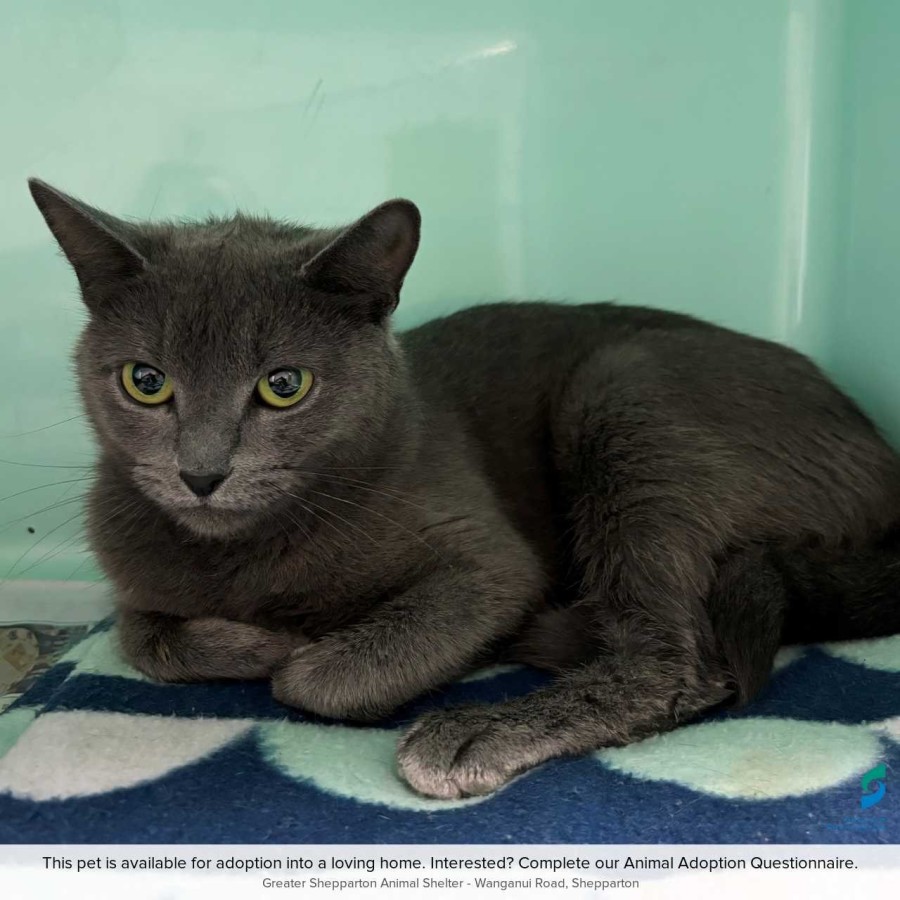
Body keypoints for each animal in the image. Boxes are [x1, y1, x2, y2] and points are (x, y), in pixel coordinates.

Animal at [28, 177, 900, 799]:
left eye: (283, 386)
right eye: (145, 382)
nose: (201, 472)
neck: (247, 560)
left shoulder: (489, 561)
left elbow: (318, 678)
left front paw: (300, 650)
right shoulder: (132, 570)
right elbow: (140, 635)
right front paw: (258, 639)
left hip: (625, 390)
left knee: (682, 662)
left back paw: (481, 728)